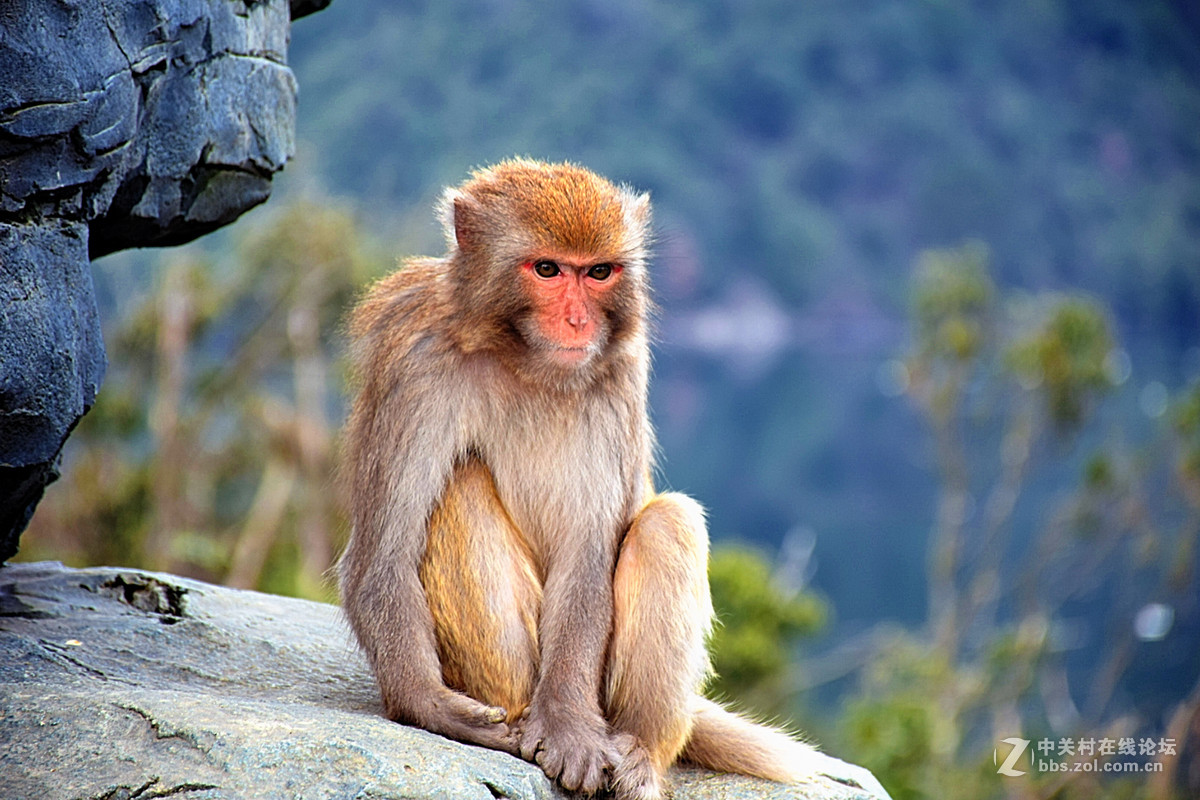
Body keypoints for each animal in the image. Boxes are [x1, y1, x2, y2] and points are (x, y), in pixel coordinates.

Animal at [340, 159, 825, 796]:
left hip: (609, 699)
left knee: (669, 523)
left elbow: (587, 558)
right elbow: (382, 558)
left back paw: (641, 751)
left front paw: (569, 724)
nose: (577, 320)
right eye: (547, 269)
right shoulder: (413, 365)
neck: (523, 358)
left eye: (598, 272)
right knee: (459, 487)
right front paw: (426, 705)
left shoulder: (620, 377)